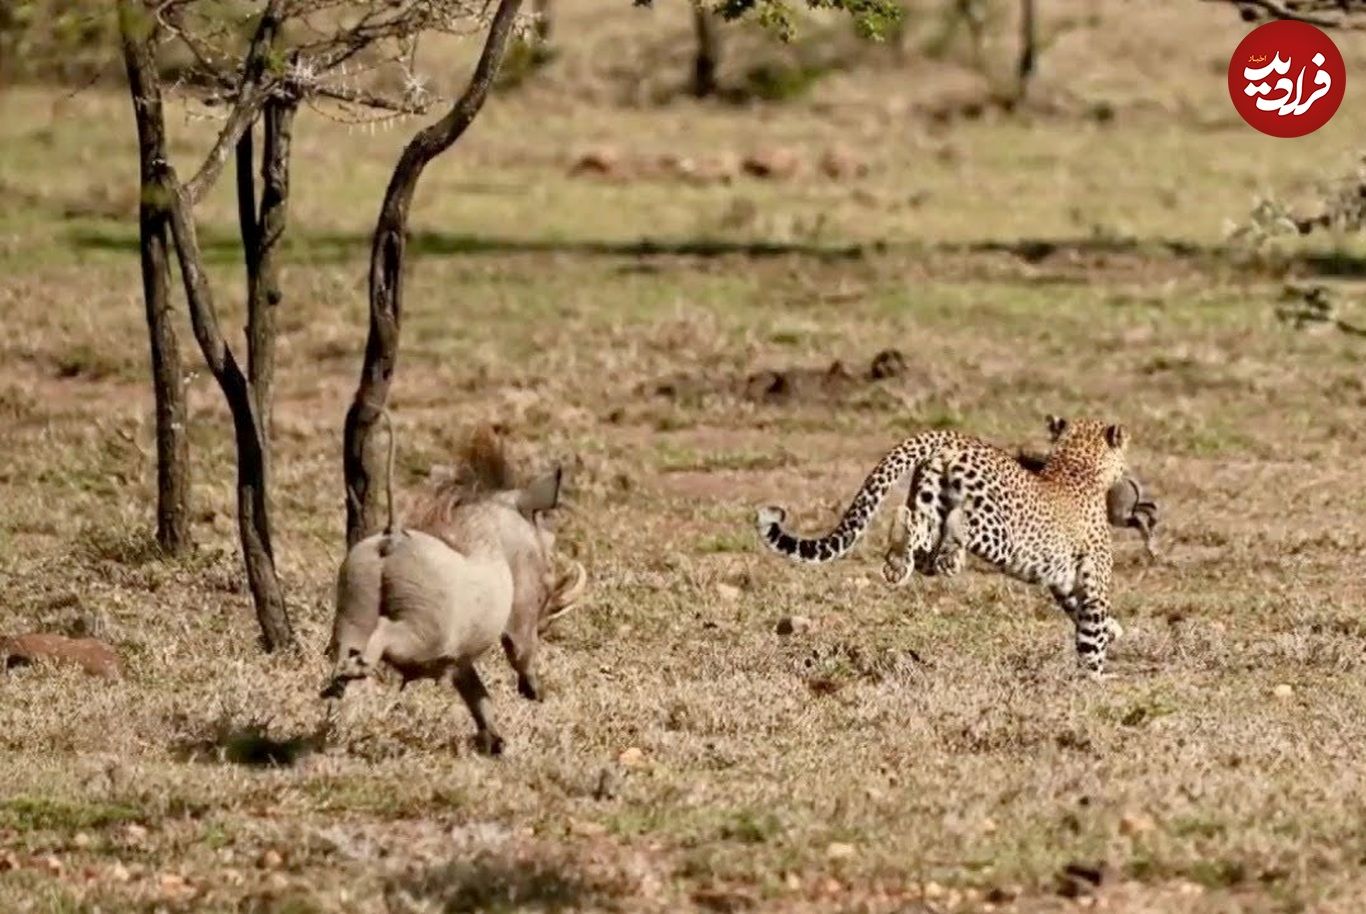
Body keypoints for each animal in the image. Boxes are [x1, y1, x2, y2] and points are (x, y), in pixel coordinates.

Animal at [759, 418, 1131, 674]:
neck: (1077, 464)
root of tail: (951, 436)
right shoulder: (1091, 587)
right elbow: (1091, 635)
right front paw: (1094, 679)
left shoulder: (1066, 583)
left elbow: (1085, 617)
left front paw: (1112, 634)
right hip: (998, 532)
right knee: (953, 530)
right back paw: (948, 558)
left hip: (926, 494)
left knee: (918, 538)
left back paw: (900, 561)